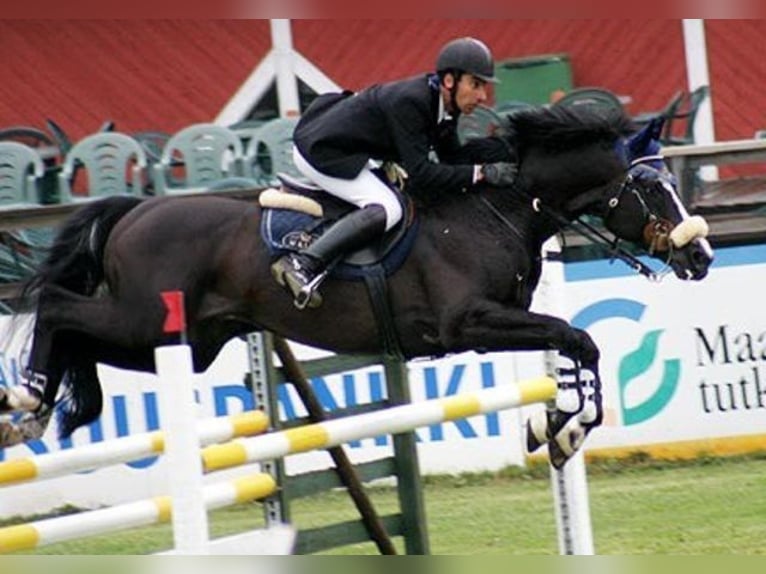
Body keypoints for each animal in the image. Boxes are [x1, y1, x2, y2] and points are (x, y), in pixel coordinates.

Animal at [0, 106, 716, 470]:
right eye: (653, 187)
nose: (702, 255)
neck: (501, 208)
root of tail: (136, 210)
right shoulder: (470, 324)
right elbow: (578, 337)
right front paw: (563, 429)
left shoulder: (507, 316)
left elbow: (576, 347)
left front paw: (557, 428)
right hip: (150, 321)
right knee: (57, 308)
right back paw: (28, 396)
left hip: (184, 340)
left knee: (80, 334)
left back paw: (36, 409)